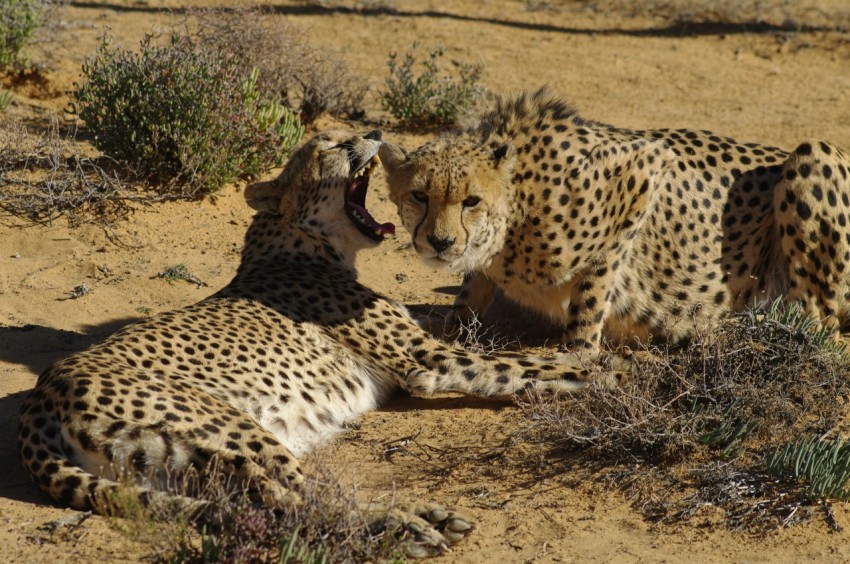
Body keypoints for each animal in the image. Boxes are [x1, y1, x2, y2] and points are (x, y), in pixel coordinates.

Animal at [18, 130, 588, 556]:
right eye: (330, 145)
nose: (375, 132)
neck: (303, 242)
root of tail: (42, 396)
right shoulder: (429, 358)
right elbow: (520, 365)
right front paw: (595, 377)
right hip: (233, 428)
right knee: (301, 499)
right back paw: (407, 525)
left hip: (172, 464)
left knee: (269, 504)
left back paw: (418, 518)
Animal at [380, 88, 848, 362]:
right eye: (419, 196)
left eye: (471, 201)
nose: (440, 242)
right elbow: (468, 293)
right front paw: (448, 322)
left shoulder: (642, 171)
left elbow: (594, 288)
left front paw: (578, 350)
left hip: (815, 153)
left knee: (820, 328)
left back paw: (733, 332)